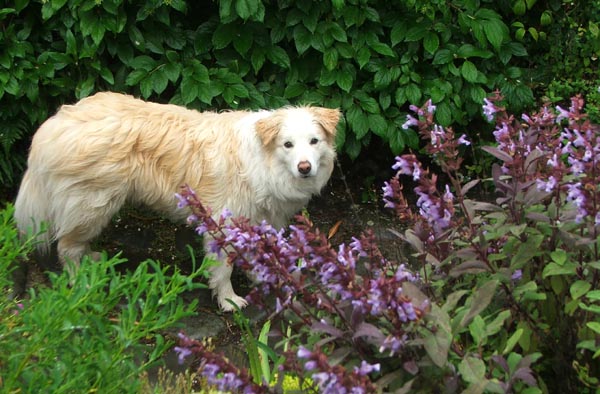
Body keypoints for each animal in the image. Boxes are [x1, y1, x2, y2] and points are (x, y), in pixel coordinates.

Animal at [14, 92, 340, 310]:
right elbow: (223, 269)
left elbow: (255, 255)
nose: (305, 168)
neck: (262, 159)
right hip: (92, 205)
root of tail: (56, 123)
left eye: (314, 142)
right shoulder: (221, 225)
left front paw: (263, 278)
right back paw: (80, 279)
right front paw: (229, 300)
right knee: (66, 246)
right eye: (288, 145)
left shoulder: (257, 220)